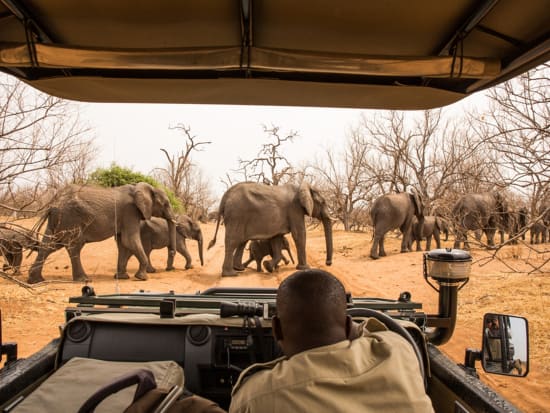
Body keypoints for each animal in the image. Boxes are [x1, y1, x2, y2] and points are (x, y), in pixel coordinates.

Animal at [27, 183, 177, 284]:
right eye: (165, 204)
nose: (172, 253)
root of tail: (52, 205)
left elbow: (123, 243)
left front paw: (122, 277)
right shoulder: (130, 212)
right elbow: (129, 240)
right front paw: (142, 278)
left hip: (58, 221)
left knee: (50, 246)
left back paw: (36, 280)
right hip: (71, 218)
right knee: (74, 246)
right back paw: (84, 279)